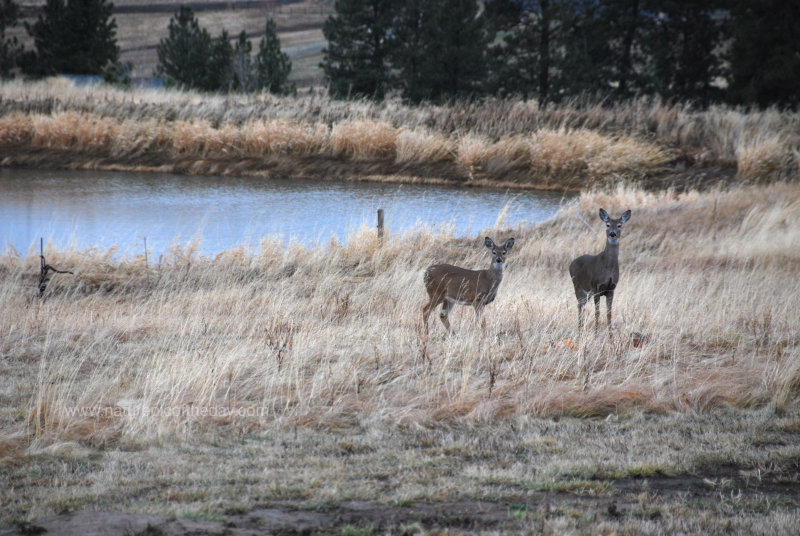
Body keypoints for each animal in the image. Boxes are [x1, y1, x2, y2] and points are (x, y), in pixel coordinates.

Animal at [568, 208, 632, 336]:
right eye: (607, 225)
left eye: (619, 225)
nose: (612, 233)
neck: (608, 268)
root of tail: (571, 264)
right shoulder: (596, 287)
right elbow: (597, 312)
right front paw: (596, 334)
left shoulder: (611, 289)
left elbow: (609, 313)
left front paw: (611, 337)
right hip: (578, 287)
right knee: (579, 305)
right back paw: (579, 330)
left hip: (586, 292)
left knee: (582, 305)